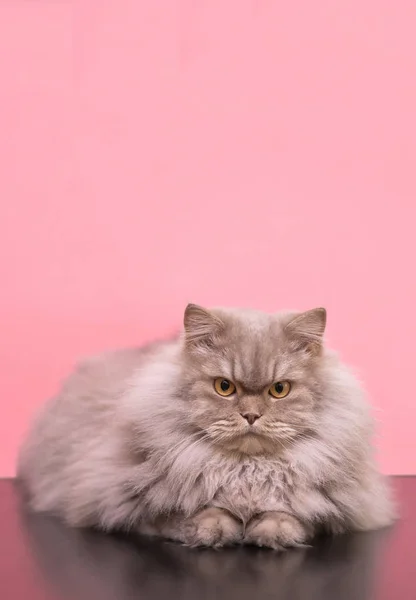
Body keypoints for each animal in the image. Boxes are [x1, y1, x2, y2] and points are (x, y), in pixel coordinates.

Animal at [17, 304, 394, 548]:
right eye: (224, 387)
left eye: (279, 390)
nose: (251, 416)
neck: (246, 470)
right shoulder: (120, 502)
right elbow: (189, 516)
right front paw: (217, 529)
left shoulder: (338, 509)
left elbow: (293, 516)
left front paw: (270, 531)